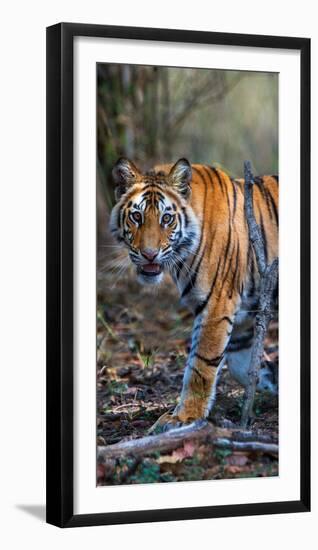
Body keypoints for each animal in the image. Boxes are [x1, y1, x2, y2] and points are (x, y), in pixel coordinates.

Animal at [109, 157, 278, 430]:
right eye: (136, 216)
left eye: (167, 218)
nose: (149, 255)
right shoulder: (243, 315)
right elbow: (243, 366)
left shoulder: (217, 305)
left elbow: (200, 365)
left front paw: (183, 417)